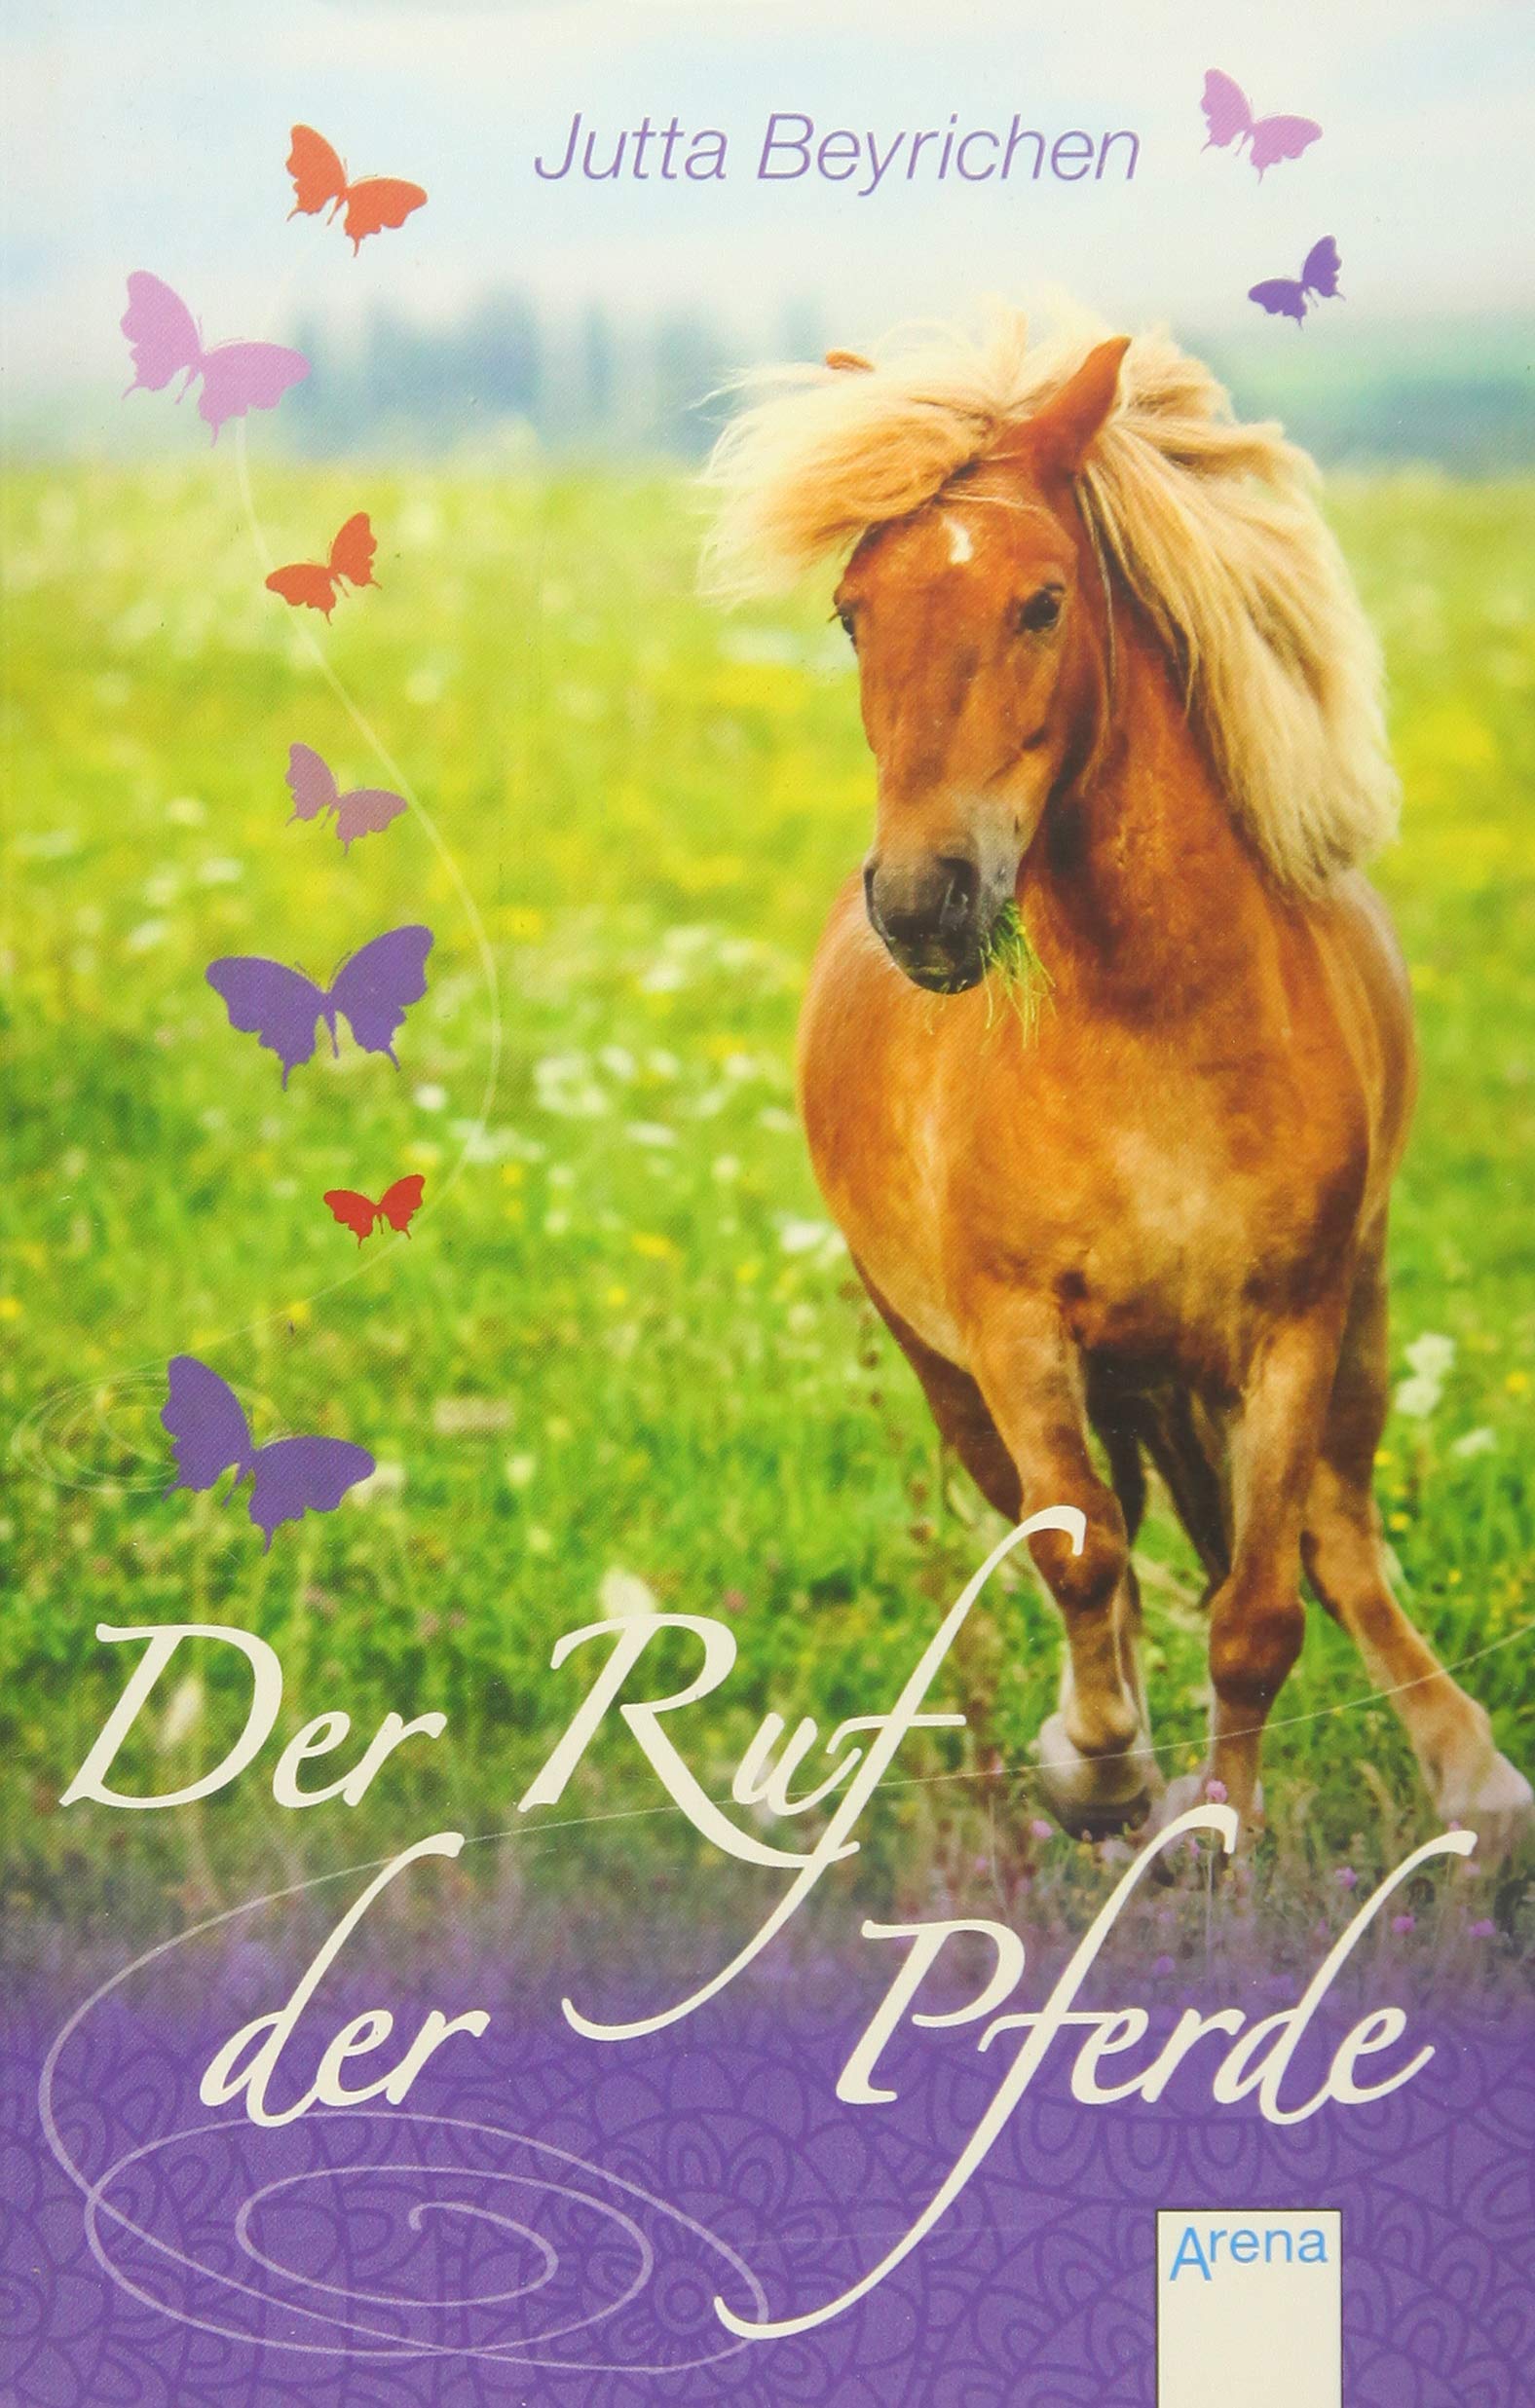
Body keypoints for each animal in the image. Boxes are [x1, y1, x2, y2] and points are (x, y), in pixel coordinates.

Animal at [703, 309, 1530, 1847]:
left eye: (1041, 604)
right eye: (852, 612)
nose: (924, 902)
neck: (1152, 1032)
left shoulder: (1290, 1331)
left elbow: (1260, 1611)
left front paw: (1217, 1831)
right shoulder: (1016, 1335)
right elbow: (1084, 1556)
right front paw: (1102, 1768)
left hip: (1358, 1315)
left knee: (1338, 1536)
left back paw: (1472, 1775)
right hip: (952, 1372)